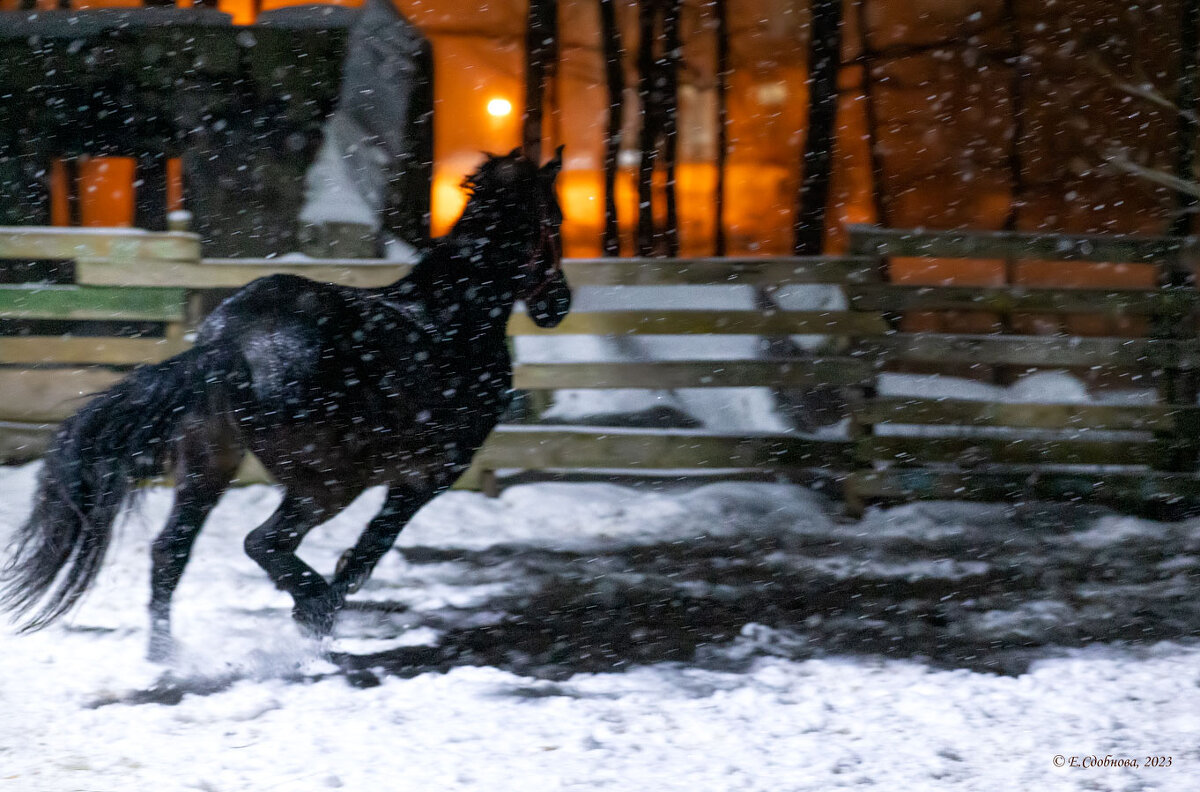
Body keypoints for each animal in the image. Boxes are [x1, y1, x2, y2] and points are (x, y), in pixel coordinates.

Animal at [1, 148, 571, 662]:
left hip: (209, 466)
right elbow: (369, 550)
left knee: (171, 551)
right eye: (555, 221)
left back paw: (165, 658)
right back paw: (309, 609)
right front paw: (319, 610)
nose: (558, 304)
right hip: (328, 484)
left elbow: (365, 552)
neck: (451, 319)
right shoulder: (427, 476)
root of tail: (227, 342)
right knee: (262, 542)